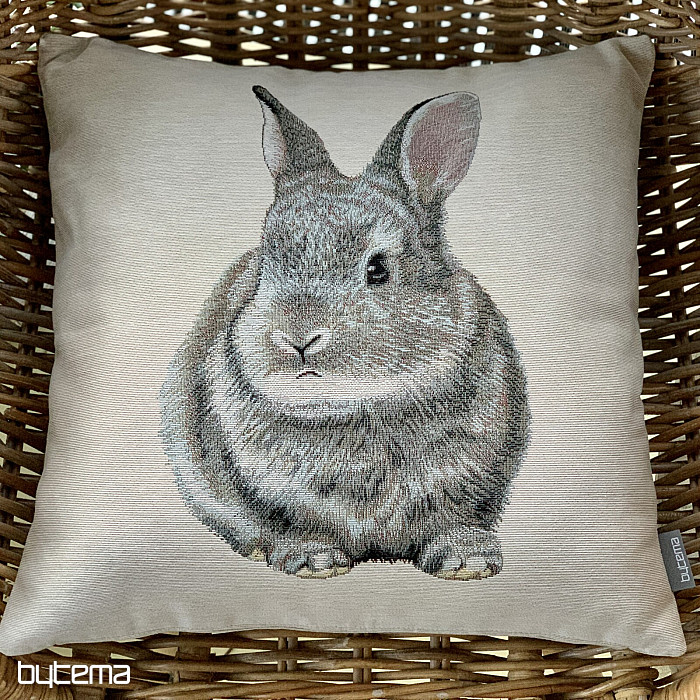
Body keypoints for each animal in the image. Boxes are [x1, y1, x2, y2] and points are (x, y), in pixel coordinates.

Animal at [160, 86, 531, 581]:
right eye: (265, 267)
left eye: (378, 269)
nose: (298, 337)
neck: (354, 407)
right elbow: (285, 521)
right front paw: (313, 560)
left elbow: (455, 518)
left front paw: (466, 561)